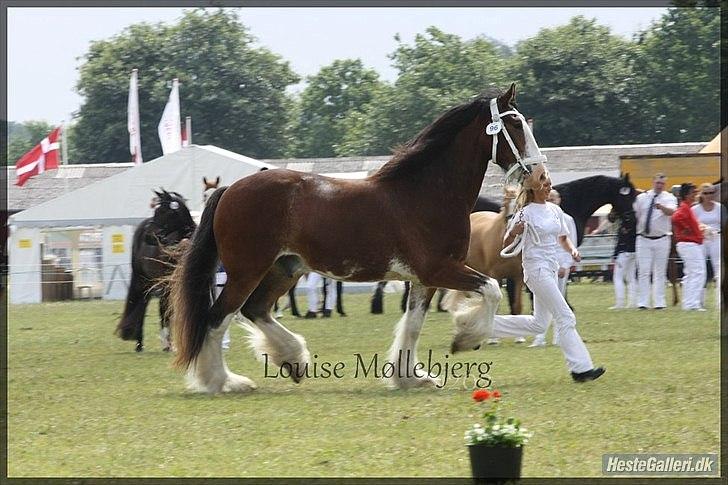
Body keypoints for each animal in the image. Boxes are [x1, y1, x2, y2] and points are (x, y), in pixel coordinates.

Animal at [114, 189, 195, 352]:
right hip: (143, 281)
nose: (148, 235)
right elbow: (166, 312)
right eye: (156, 211)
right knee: (143, 309)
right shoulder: (166, 285)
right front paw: (168, 344)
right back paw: (140, 344)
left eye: (163, 211)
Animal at [171, 83, 544, 394]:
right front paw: (465, 338)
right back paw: (223, 382)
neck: (425, 193)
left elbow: (413, 325)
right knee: (218, 318)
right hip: (247, 271)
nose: (540, 176)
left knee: (255, 310)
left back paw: (293, 360)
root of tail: (229, 189)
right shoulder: (440, 270)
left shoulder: (423, 279)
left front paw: (411, 377)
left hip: (283, 269)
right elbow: (492, 290)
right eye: (514, 125)